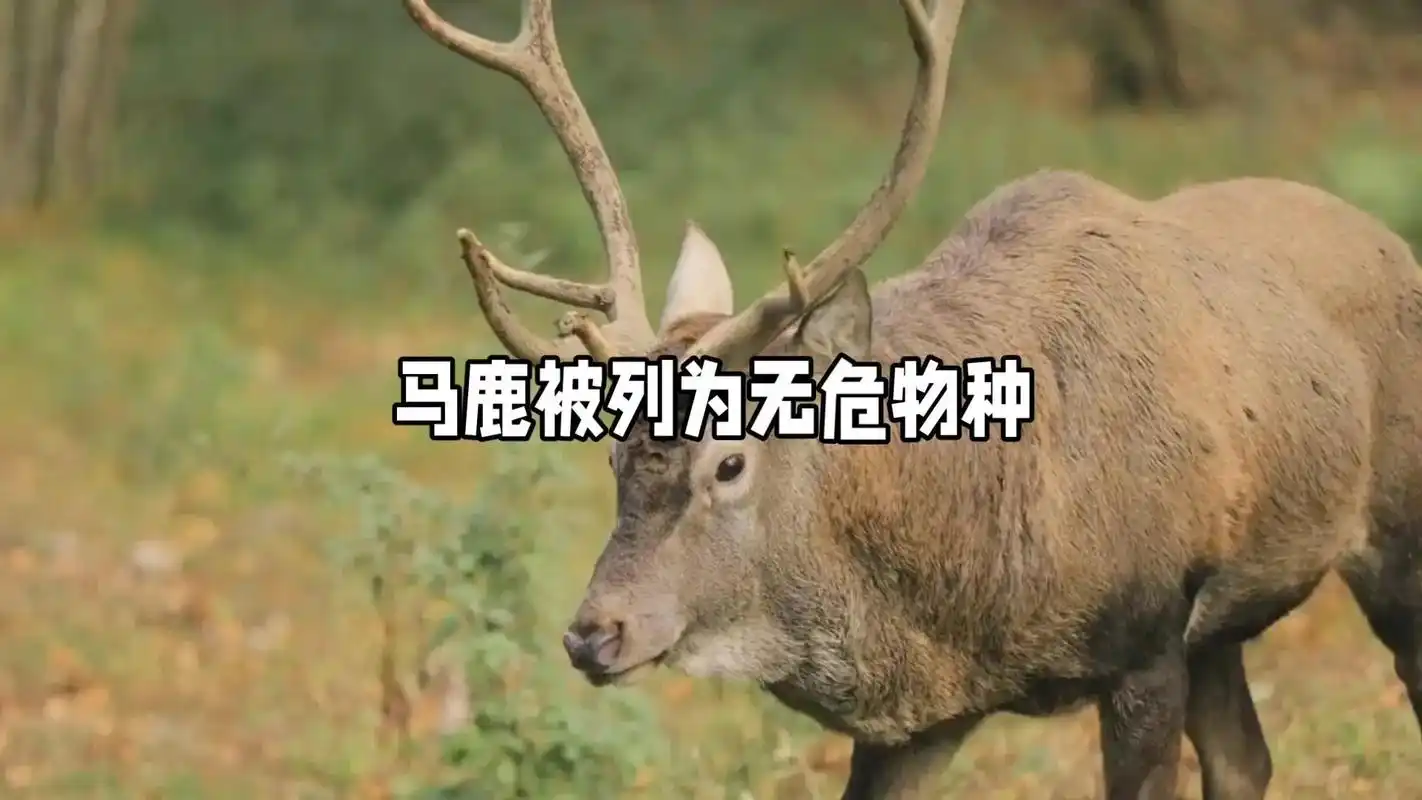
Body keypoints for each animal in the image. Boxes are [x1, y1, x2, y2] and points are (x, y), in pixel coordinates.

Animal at [401, 0, 1422, 798]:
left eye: (730, 461)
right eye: (611, 450)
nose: (592, 633)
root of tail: (1389, 239)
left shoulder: (1146, 635)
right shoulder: (920, 721)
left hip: (1392, 532)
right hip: (1227, 626)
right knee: (1247, 761)